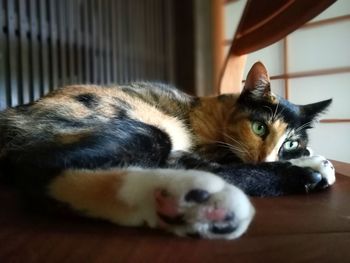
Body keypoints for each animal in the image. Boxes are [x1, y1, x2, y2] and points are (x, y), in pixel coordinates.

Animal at [0, 63, 334, 240]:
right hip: (150, 129)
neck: (220, 110)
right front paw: (311, 165)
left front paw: (309, 156)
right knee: (42, 170)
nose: (269, 157)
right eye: (259, 128)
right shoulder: (206, 147)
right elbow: (227, 164)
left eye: (290, 142)